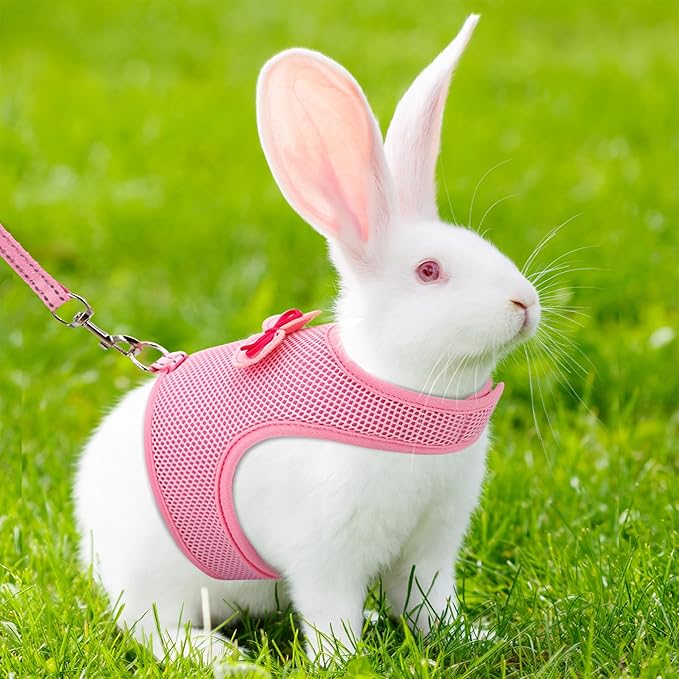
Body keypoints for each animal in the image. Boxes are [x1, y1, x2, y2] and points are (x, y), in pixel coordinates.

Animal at [74, 13, 540, 665]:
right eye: (429, 271)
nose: (525, 304)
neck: (406, 391)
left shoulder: (430, 545)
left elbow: (425, 603)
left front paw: (467, 637)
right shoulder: (326, 552)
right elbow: (330, 610)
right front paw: (343, 659)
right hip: (157, 581)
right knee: (153, 629)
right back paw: (228, 663)